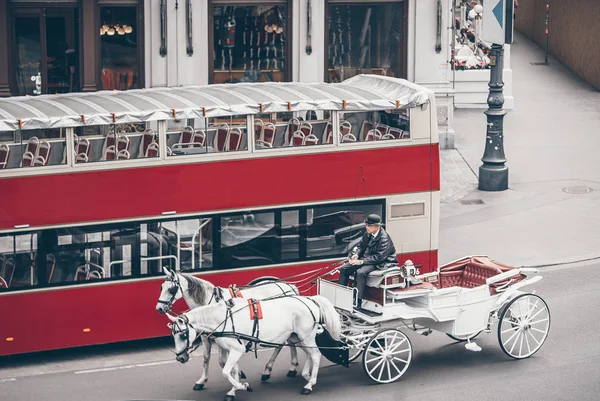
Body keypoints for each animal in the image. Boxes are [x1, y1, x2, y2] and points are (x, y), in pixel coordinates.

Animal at [156, 268, 300, 390]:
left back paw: (270, 370)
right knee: (289, 341)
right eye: (162, 287)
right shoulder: (206, 335)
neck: (209, 303)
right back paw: (290, 367)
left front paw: (238, 375)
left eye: (171, 289)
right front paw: (202, 381)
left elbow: (221, 361)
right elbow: (206, 357)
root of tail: (289, 286)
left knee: (282, 344)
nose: (159, 308)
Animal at [166, 292, 342, 398]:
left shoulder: (237, 349)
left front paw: (242, 386)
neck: (222, 318)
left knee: (316, 355)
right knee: (309, 355)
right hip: (297, 337)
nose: (180, 358)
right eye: (173, 335)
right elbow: (231, 369)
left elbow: (226, 371)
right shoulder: (231, 349)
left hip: (306, 336)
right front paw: (234, 389)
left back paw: (310, 384)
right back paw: (306, 375)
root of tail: (309, 299)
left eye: (183, 334)